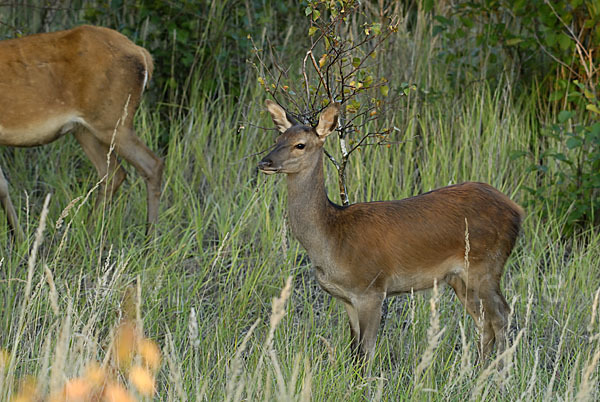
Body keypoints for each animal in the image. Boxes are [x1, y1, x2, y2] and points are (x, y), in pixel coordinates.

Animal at [0, 25, 164, 239]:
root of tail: (143, 55)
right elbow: (2, 186)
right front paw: (20, 240)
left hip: (111, 121)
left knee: (152, 164)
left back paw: (149, 240)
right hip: (84, 129)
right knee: (113, 173)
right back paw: (89, 234)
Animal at [258, 99, 524, 362]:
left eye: (300, 145)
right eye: (277, 139)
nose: (265, 162)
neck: (331, 238)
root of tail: (517, 210)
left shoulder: (371, 289)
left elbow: (366, 352)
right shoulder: (347, 299)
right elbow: (354, 351)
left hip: (486, 266)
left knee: (501, 316)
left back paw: (500, 370)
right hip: (459, 279)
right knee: (484, 323)